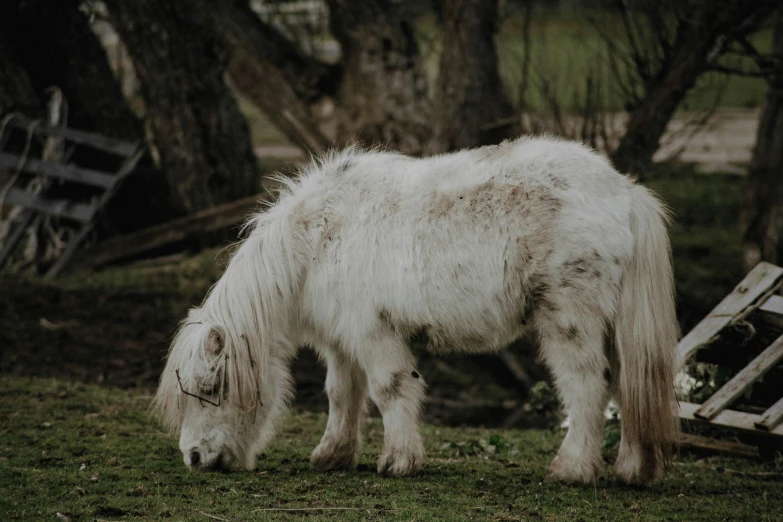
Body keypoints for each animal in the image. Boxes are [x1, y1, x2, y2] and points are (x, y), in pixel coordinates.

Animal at [153, 137, 680, 484]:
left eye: (210, 388)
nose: (193, 458)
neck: (318, 239)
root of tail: (625, 192)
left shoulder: (373, 333)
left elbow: (390, 390)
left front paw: (399, 461)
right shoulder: (341, 341)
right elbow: (342, 394)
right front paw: (333, 455)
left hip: (570, 319)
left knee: (588, 385)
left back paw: (571, 469)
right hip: (613, 325)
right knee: (628, 384)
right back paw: (633, 469)